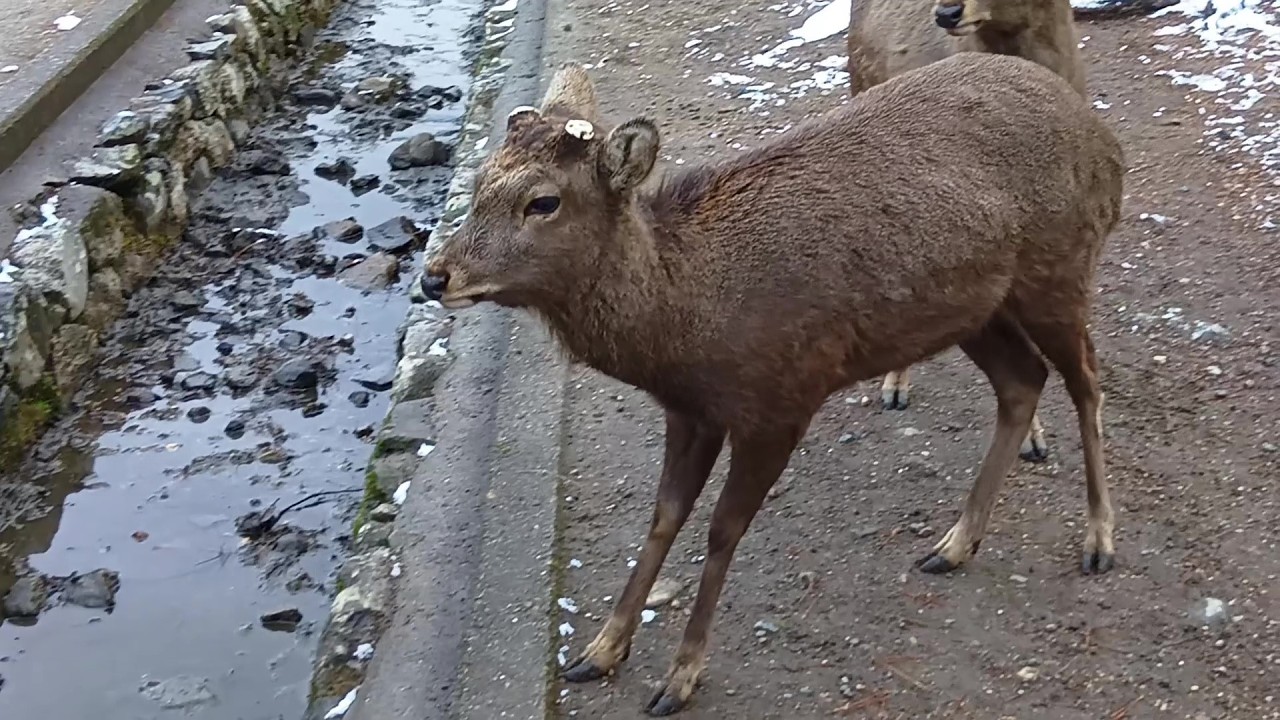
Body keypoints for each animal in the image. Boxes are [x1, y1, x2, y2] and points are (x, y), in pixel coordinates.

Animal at [421, 52, 1123, 715]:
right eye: (479, 182)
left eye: (542, 201)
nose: (435, 275)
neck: (683, 327)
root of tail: (1105, 144)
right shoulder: (690, 411)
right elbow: (664, 518)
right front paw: (600, 650)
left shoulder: (782, 399)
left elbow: (721, 530)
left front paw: (679, 678)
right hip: (973, 309)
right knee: (1022, 380)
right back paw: (954, 545)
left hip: (1058, 264)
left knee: (1086, 379)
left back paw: (1098, 540)